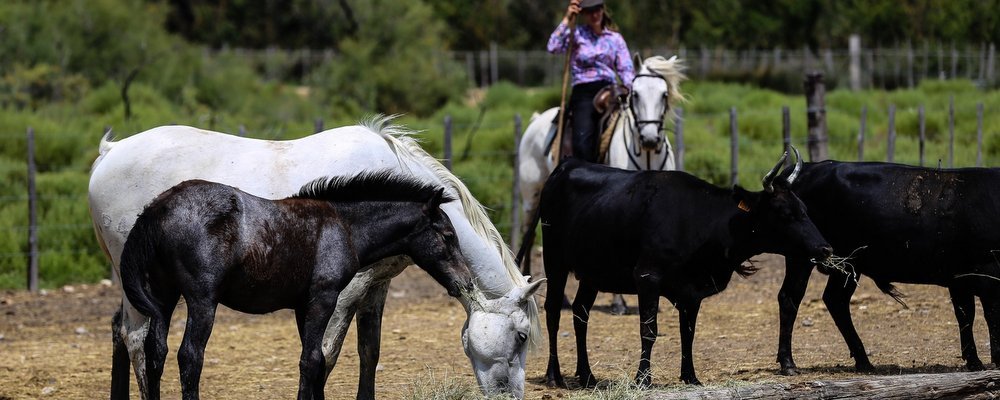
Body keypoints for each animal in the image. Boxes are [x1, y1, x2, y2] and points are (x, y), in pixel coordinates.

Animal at [90, 114, 544, 398]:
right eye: (521, 335)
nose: (510, 396)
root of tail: (109, 153)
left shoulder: (376, 287)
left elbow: (369, 353)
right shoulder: (339, 295)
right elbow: (323, 357)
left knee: (123, 335)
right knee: (136, 340)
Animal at [516, 55, 688, 312]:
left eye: (664, 94)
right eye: (635, 94)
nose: (649, 139)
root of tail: (537, 120)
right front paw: (619, 302)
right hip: (532, 196)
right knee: (530, 235)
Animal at [536, 151, 832, 388]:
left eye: (804, 208)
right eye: (784, 213)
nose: (825, 248)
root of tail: (569, 163)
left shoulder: (692, 291)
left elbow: (688, 333)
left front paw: (690, 376)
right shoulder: (647, 277)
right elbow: (649, 330)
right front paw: (643, 379)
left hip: (591, 273)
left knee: (580, 314)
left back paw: (587, 376)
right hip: (554, 260)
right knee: (553, 312)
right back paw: (554, 376)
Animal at [776, 159, 1000, 376]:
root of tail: (809, 167)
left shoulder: (960, 278)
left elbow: (966, 315)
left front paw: (975, 360)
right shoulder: (985, 274)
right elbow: (989, 316)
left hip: (849, 266)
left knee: (835, 300)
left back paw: (863, 361)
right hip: (801, 257)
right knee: (790, 298)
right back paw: (788, 363)